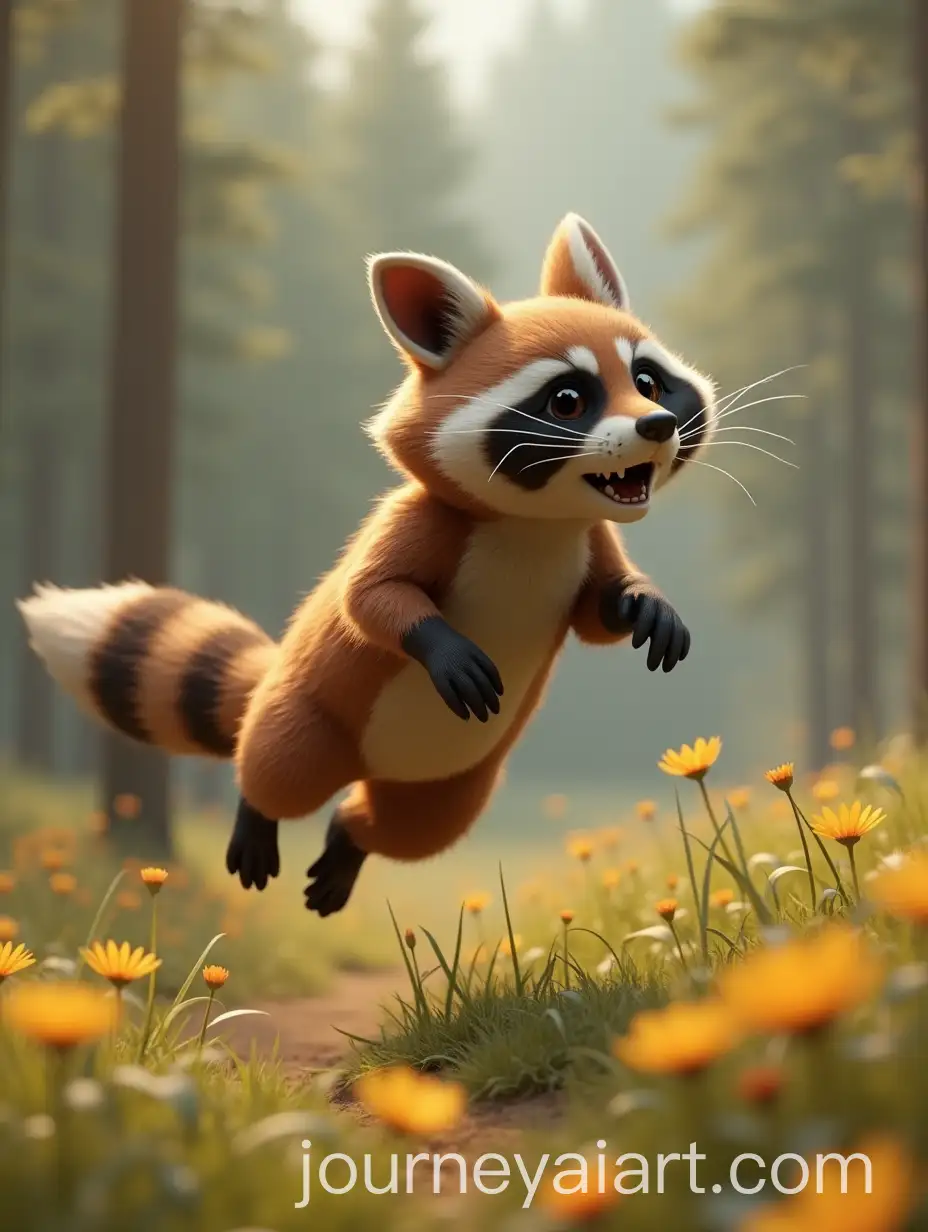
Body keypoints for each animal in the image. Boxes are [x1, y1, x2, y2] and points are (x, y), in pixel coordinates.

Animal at [18, 213, 717, 917]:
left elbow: (597, 612)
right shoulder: (425, 522)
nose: (658, 425)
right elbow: (371, 595)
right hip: (307, 712)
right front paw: (436, 641)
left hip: (453, 778)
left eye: (648, 382)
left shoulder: (587, 539)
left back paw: (349, 840)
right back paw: (256, 811)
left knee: (411, 827)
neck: (531, 523)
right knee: (281, 768)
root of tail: (366, 769)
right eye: (567, 400)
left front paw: (643, 603)